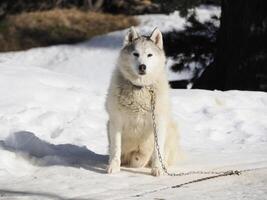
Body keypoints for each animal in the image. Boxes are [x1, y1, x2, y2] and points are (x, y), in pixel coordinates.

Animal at [105, 27, 179, 177]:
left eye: (149, 55)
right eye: (136, 54)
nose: (142, 66)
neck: (139, 88)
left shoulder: (158, 122)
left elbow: (156, 152)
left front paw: (157, 169)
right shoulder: (116, 122)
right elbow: (115, 149)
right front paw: (114, 167)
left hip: (170, 128)